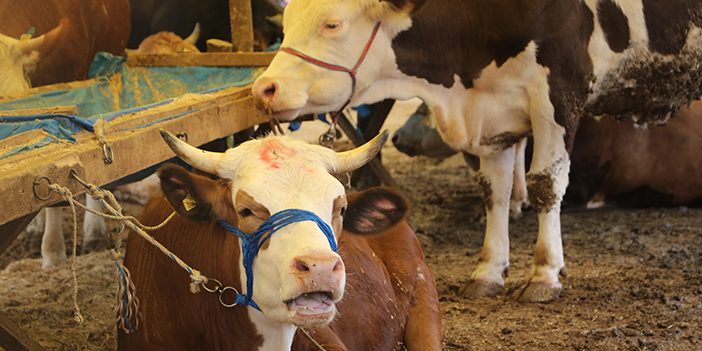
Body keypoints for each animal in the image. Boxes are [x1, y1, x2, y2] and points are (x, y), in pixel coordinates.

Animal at [253, 0, 702, 302]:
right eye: (287, 24)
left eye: (333, 23)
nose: (264, 88)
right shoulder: (495, 115)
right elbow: (495, 192)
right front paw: (489, 271)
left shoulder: (559, 93)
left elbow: (545, 184)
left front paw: (544, 274)